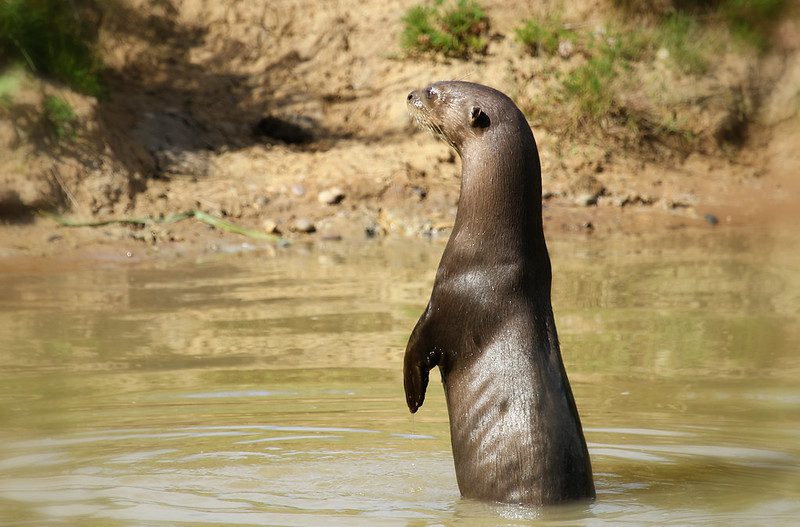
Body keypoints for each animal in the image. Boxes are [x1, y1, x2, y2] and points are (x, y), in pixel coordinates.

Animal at [403, 81, 595, 505]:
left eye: (434, 91)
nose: (409, 96)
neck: (490, 253)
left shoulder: (446, 306)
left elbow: (414, 352)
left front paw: (413, 399)